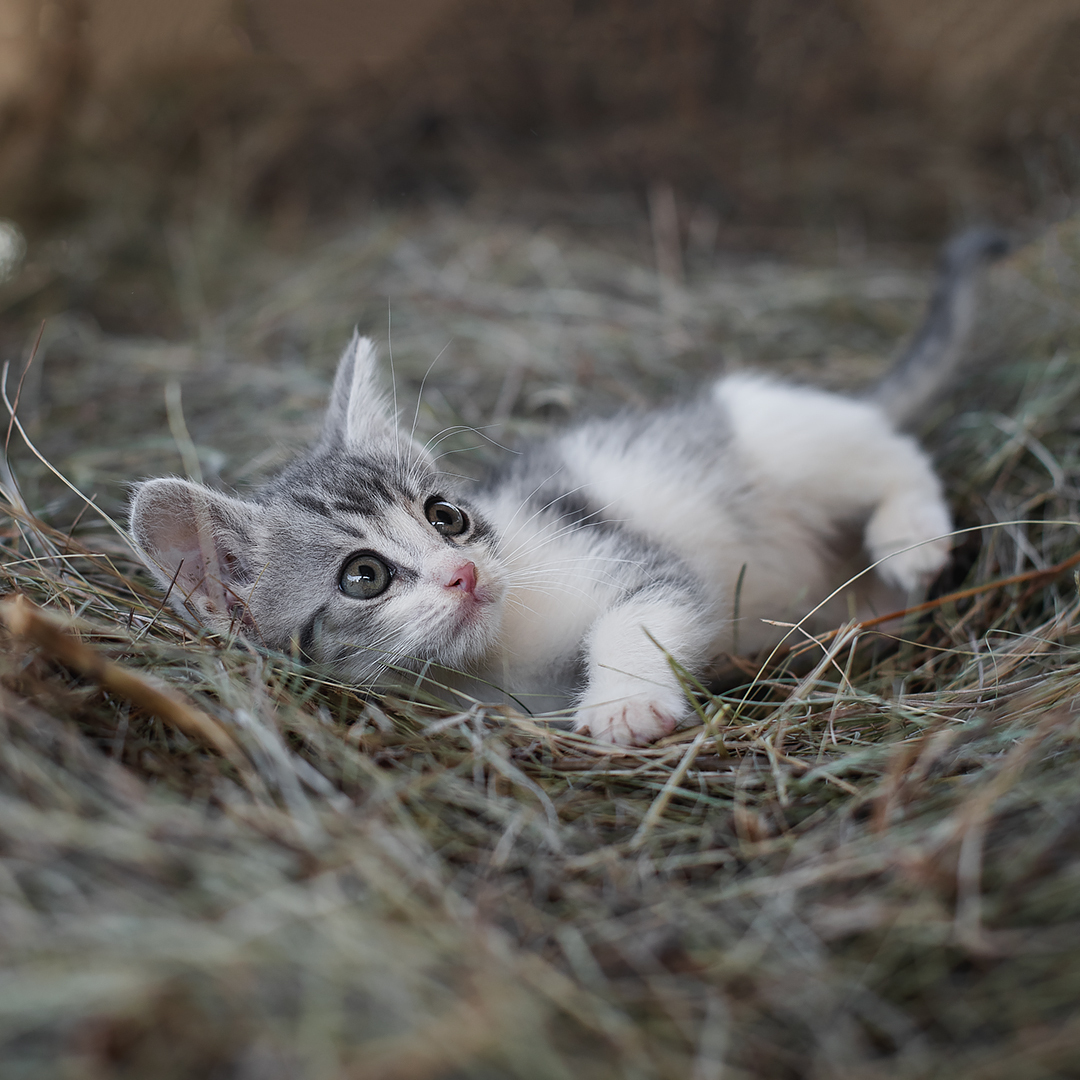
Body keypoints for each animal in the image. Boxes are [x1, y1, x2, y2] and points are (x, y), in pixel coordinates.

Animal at [132, 232, 1002, 747]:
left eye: (446, 516)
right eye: (364, 576)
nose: (465, 573)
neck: (496, 660)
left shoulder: (624, 556)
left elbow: (638, 613)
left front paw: (623, 704)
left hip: (779, 434)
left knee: (891, 452)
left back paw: (909, 535)